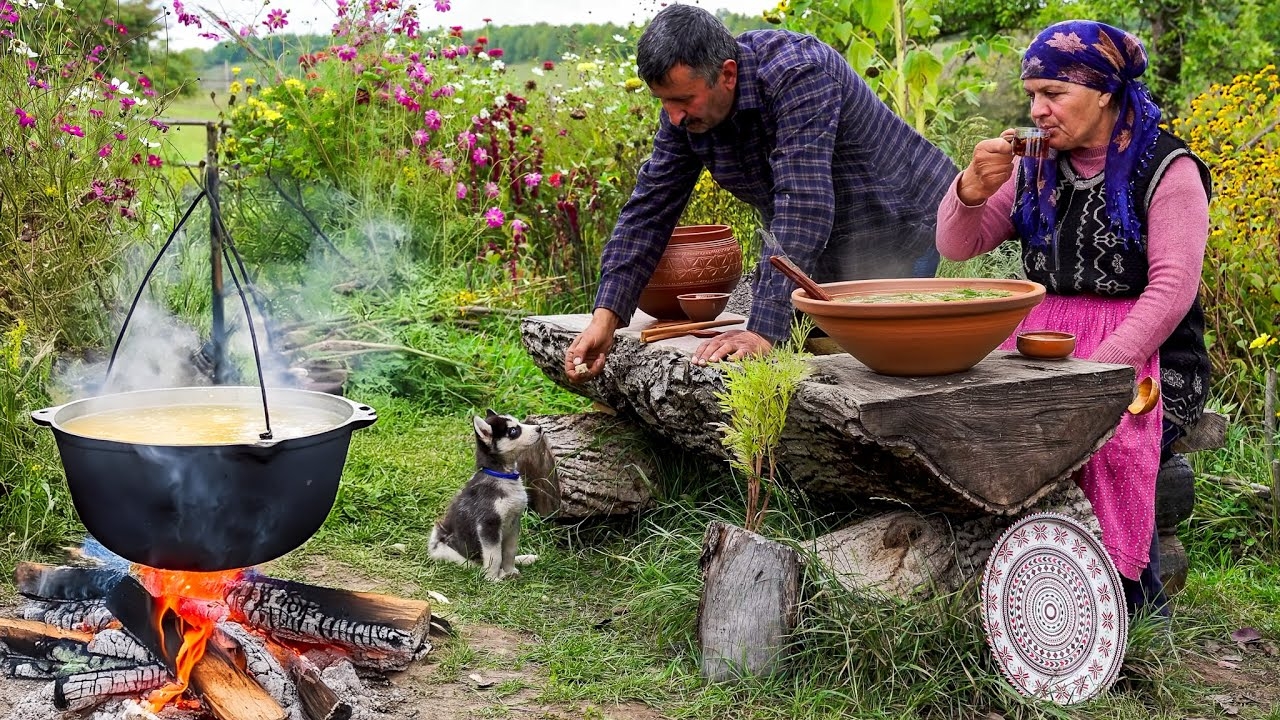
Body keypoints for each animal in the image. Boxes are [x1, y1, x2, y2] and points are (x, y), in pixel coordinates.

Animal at [430, 409, 540, 576]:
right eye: (513, 431)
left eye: (518, 423)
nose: (539, 428)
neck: (502, 475)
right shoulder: (488, 525)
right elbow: (495, 556)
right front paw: (493, 578)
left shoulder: (514, 522)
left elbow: (509, 552)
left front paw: (510, 571)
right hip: (453, 552)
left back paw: (524, 559)